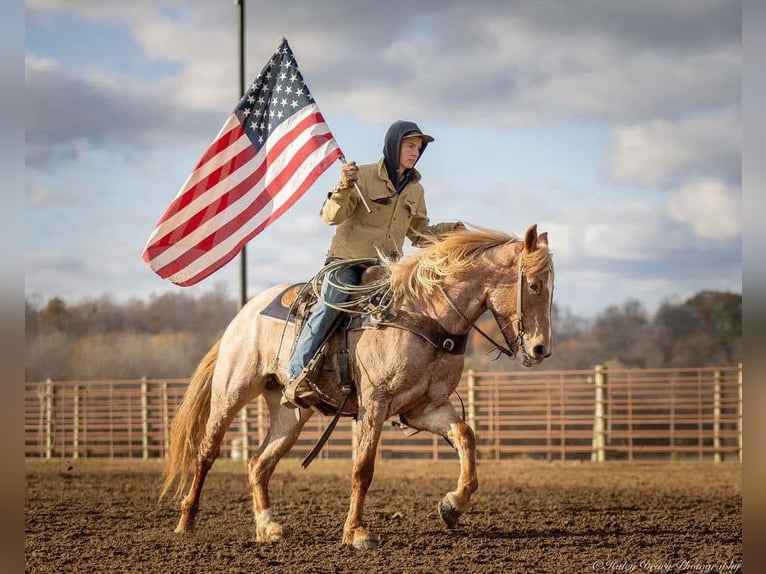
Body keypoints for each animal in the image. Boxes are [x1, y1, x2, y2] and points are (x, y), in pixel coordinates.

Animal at [164, 223, 560, 552]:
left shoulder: (425, 407)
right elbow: (363, 469)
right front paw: (356, 532)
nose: (541, 349)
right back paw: (186, 521)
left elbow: (465, 436)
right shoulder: (374, 403)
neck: (425, 315)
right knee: (206, 452)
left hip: (290, 414)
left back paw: (268, 527)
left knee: (258, 464)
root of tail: (244, 314)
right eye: (534, 285)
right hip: (231, 392)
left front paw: (452, 505)